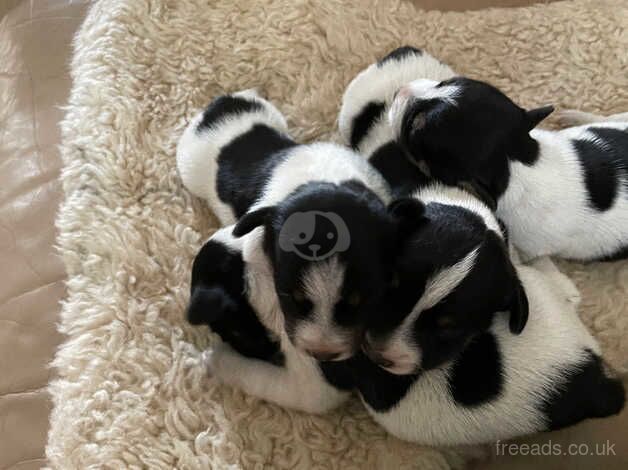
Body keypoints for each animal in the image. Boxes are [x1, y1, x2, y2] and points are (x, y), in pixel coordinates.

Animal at [388, 76, 628, 260]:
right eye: (443, 82)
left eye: (413, 127)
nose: (399, 90)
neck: (516, 162)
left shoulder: (530, 249)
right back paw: (577, 116)